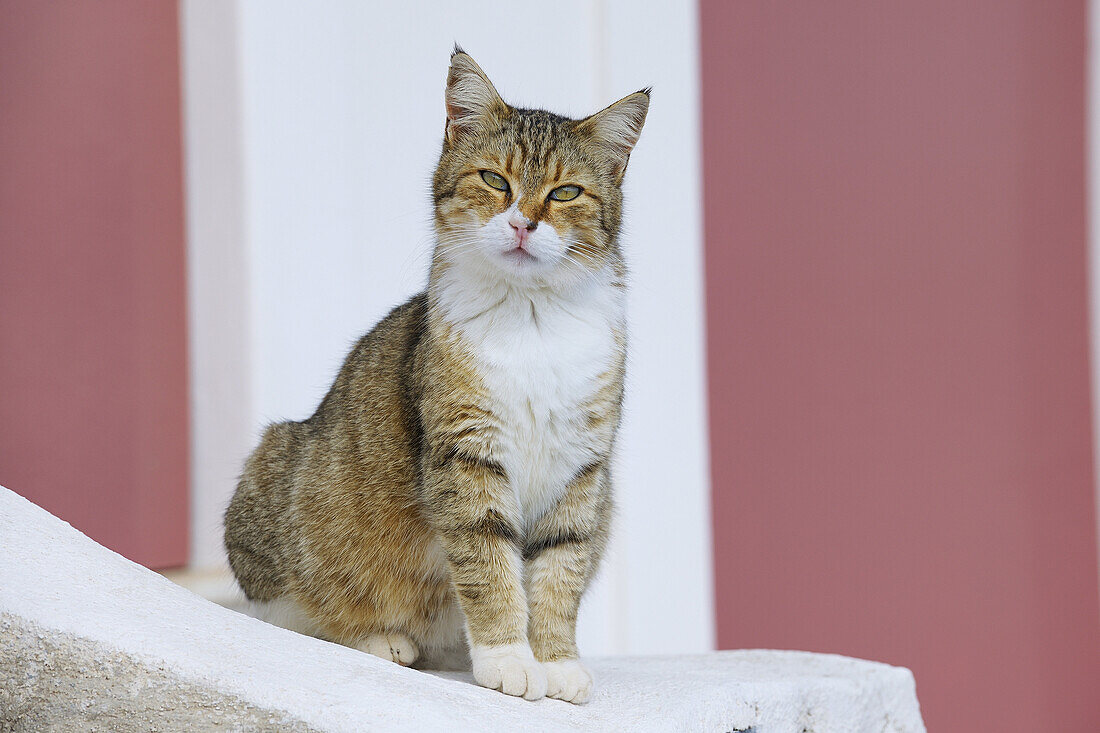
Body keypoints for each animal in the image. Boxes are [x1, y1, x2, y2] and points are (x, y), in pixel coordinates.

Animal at [224, 47, 646, 704]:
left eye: (567, 192)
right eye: (495, 180)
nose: (523, 225)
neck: (533, 318)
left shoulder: (583, 465)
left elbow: (559, 569)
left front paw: (555, 661)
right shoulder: (465, 451)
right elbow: (488, 563)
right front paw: (509, 660)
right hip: (280, 488)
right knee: (297, 614)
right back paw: (379, 640)